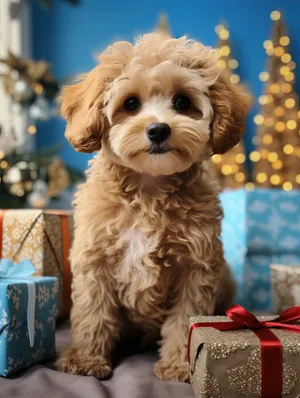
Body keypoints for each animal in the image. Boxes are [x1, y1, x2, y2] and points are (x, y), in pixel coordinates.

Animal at [56, 29, 251, 380]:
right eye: (131, 103)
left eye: (182, 102)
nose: (159, 128)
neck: (149, 189)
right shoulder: (95, 260)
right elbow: (93, 313)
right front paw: (86, 359)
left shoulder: (195, 268)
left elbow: (184, 320)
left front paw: (178, 365)